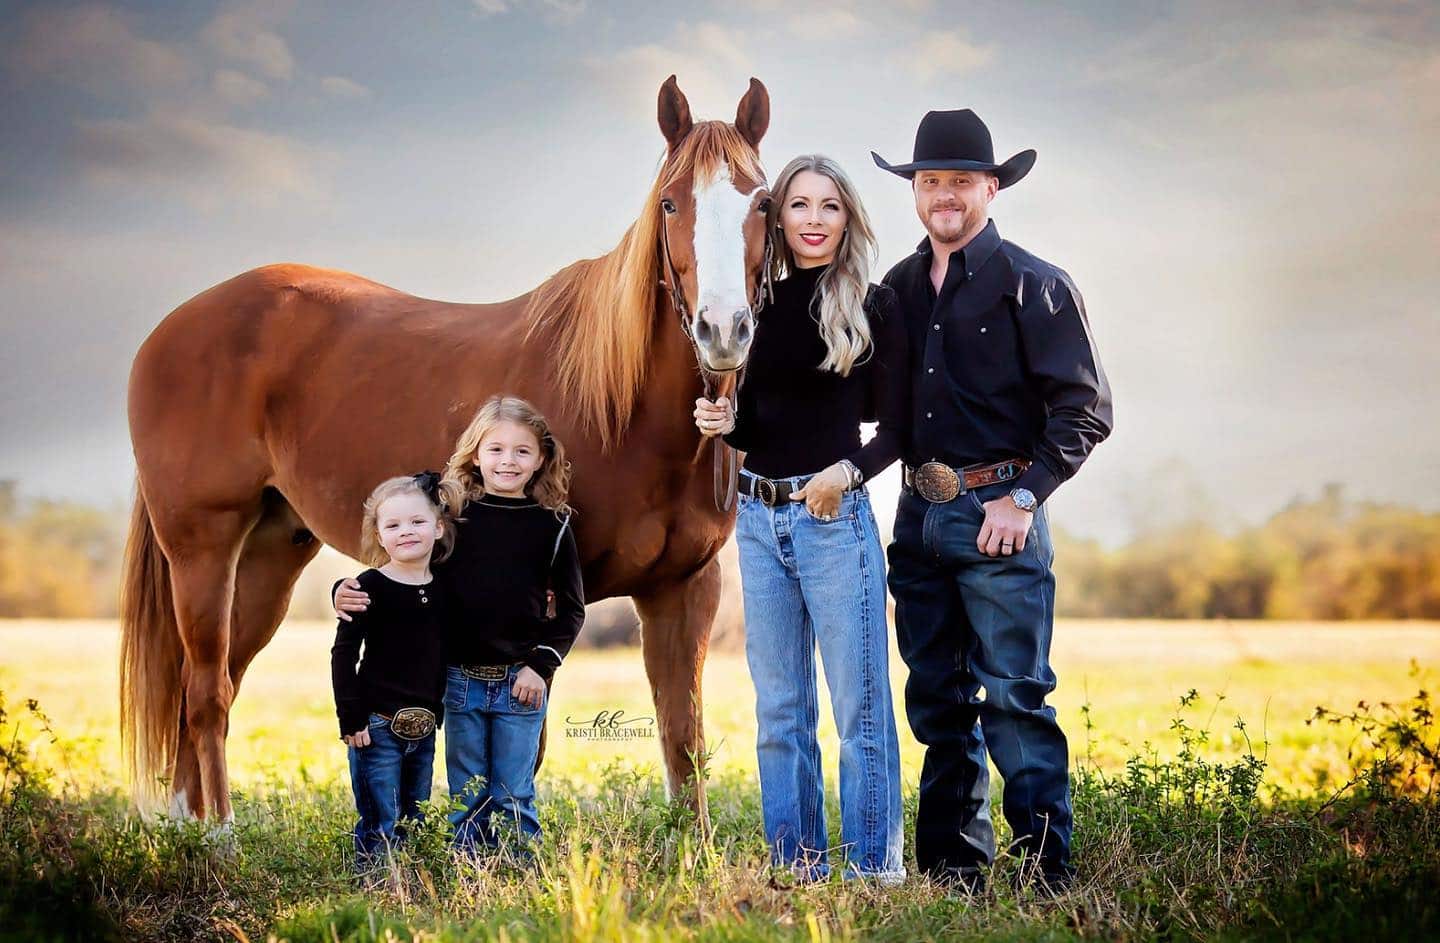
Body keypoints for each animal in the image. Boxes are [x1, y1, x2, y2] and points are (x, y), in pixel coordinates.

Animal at [120, 75, 777, 829]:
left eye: (762, 200)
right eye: (671, 202)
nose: (723, 331)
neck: (624, 406)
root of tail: (171, 328)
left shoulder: (685, 586)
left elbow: (682, 732)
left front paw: (694, 844)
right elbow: (527, 742)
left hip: (268, 552)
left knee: (211, 678)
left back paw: (189, 823)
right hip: (201, 544)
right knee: (206, 689)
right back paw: (220, 833)